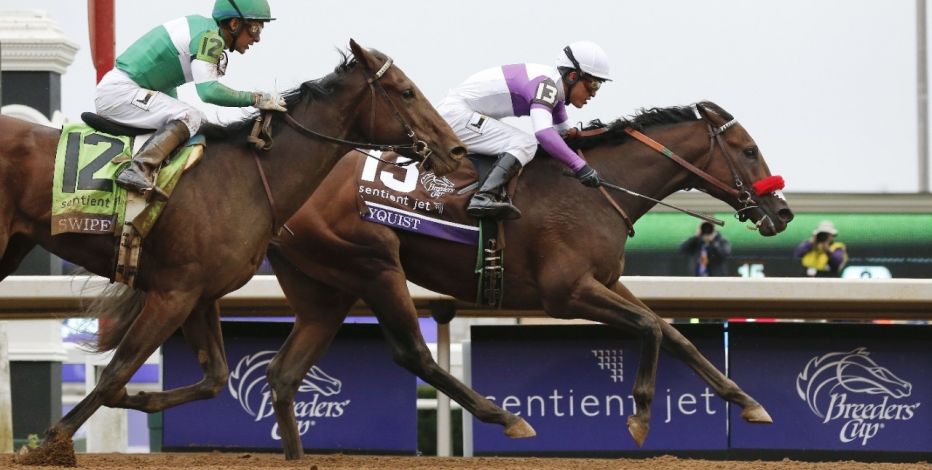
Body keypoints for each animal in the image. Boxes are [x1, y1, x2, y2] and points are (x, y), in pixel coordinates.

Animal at [0, 40, 466, 466]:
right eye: (406, 91)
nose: (456, 150)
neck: (248, 179)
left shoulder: (198, 295)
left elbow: (214, 377)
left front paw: (140, 400)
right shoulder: (172, 293)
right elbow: (115, 374)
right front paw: (47, 446)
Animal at [262, 101, 792, 458]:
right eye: (749, 150)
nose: (783, 212)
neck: (596, 188)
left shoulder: (606, 282)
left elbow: (673, 333)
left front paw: (747, 401)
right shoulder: (566, 292)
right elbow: (650, 329)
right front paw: (641, 418)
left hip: (325, 290)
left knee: (284, 374)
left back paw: (296, 457)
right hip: (374, 265)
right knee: (413, 354)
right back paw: (507, 417)